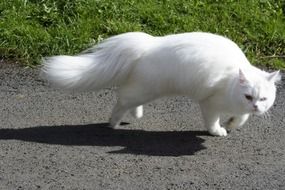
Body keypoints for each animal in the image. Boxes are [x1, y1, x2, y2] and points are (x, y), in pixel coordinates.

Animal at [40, 32, 280, 137]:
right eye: (248, 96)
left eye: (263, 99)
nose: (255, 106)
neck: (230, 81)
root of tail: (148, 43)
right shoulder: (209, 104)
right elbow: (213, 122)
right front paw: (219, 131)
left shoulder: (240, 109)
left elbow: (241, 119)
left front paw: (231, 123)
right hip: (147, 89)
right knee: (121, 100)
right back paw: (113, 123)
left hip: (143, 89)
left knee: (128, 100)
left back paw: (134, 116)